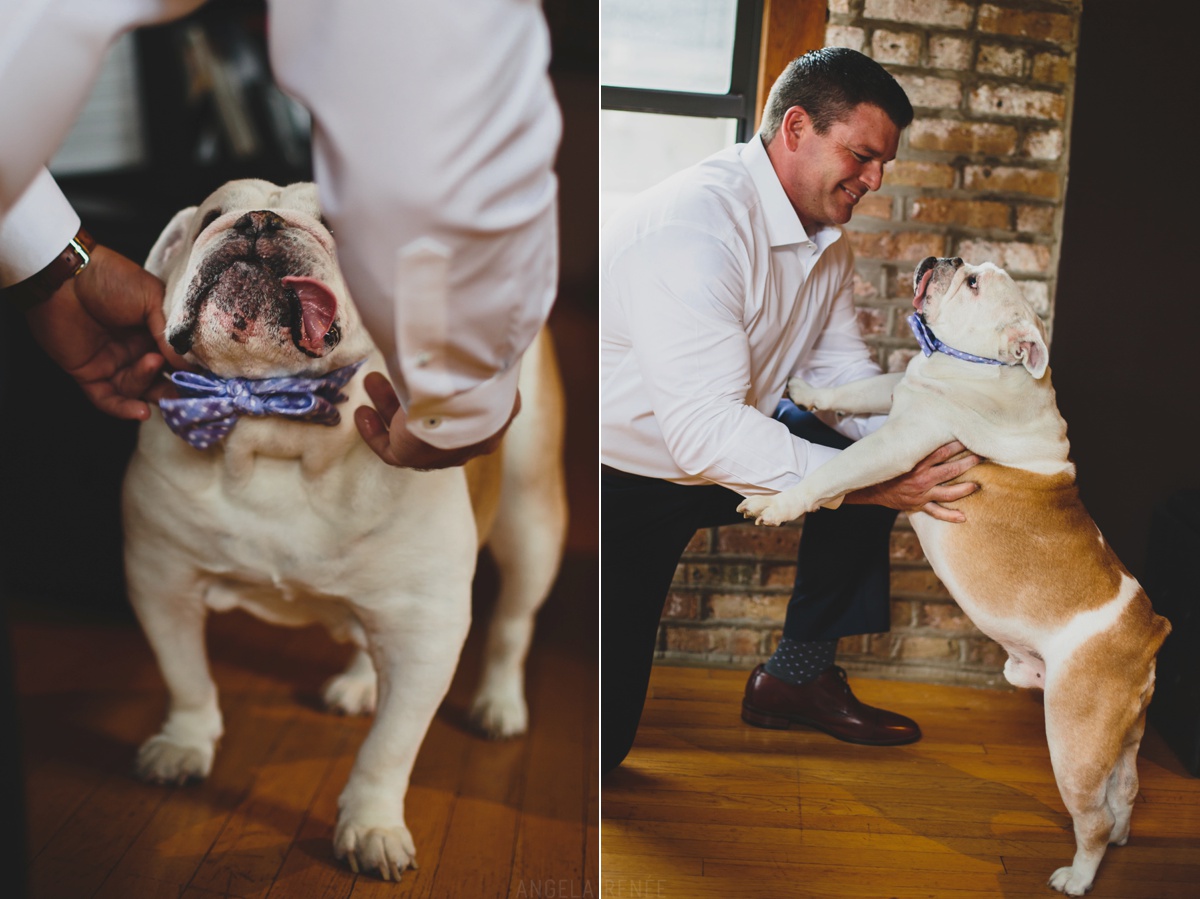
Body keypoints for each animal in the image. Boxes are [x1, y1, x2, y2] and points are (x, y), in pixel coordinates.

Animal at [119, 178, 568, 878]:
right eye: (213, 214)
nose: (258, 221)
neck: (277, 426)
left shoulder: (428, 630)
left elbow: (391, 746)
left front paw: (372, 825)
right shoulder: (161, 580)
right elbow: (185, 673)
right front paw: (183, 744)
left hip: (531, 518)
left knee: (512, 624)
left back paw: (499, 705)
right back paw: (361, 681)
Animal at [739, 255, 1171, 892]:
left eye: (971, 284)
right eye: (970, 267)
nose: (942, 259)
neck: (982, 365)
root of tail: (1150, 632)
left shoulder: (898, 444)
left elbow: (837, 470)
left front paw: (779, 504)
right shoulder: (902, 386)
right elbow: (861, 386)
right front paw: (810, 390)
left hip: (1075, 736)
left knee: (1089, 815)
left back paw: (1078, 875)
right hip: (1121, 734)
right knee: (1127, 788)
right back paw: (1119, 836)